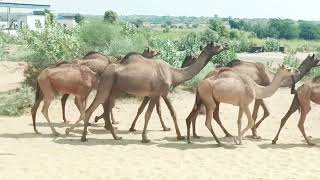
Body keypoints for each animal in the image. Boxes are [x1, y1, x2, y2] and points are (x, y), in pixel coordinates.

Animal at [66, 41, 226, 142]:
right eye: (216, 44)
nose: (226, 45)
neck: (173, 73)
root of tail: (106, 69)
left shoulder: (160, 93)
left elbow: (170, 112)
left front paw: (179, 136)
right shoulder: (157, 93)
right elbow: (149, 113)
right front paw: (145, 138)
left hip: (114, 88)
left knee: (106, 107)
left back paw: (115, 136)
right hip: (106, 84)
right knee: (92, 107)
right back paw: (83, 136)